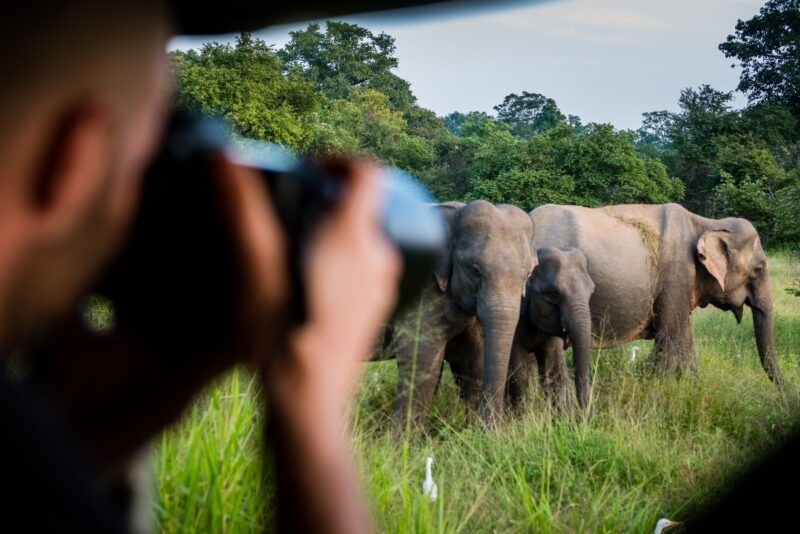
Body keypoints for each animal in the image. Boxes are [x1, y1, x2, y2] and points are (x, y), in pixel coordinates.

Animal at [388, 199, 536, 427]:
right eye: (475, 270)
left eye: (528, 274)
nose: (493, 429)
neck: (454, 211)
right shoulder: (421, 289)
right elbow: (420, 358)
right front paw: (402, 438)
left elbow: (474, 361)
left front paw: (473, 430)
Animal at [508, 246, 595, 413]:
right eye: (554, 293)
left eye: (591, 292)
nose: (584, 415)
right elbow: (518, 372)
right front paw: (520, 417)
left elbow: (553, 370)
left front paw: (564, 417)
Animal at [528, 203, 784, 384]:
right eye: (760, 269)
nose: (786, 391)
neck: (705, 222)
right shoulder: (676, 276)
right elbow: (671, 337)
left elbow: (684, 336)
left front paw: (692, 384)